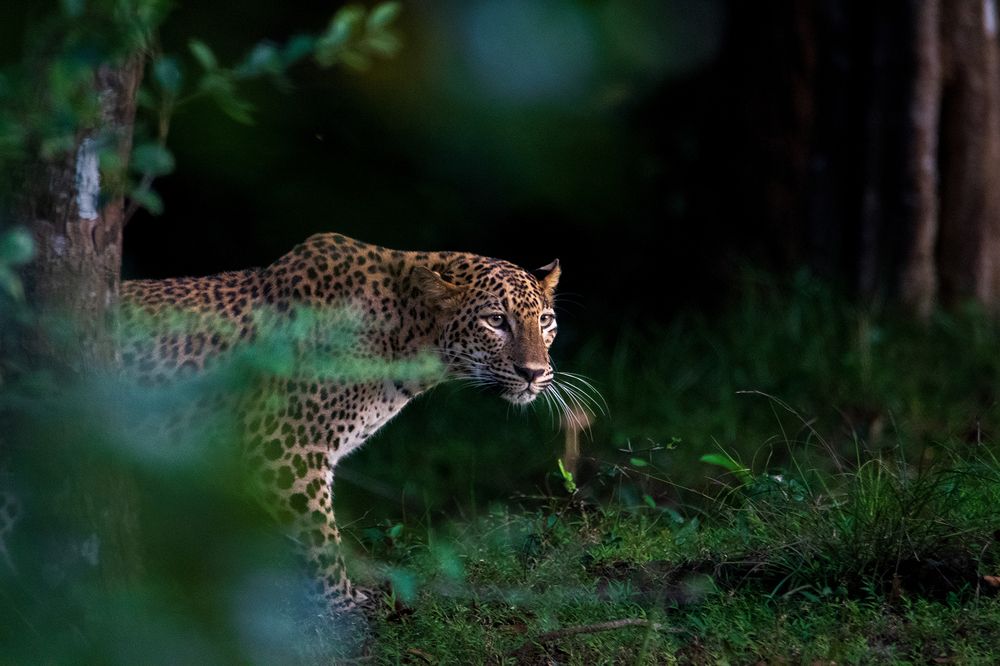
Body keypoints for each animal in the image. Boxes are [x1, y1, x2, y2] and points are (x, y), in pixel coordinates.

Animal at [116, 232, 586, 614]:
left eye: (545, 320)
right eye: (495, 321)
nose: (534, 373)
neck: (408, 339)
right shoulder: (286, 450)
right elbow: (320, 538)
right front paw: (341, 603)